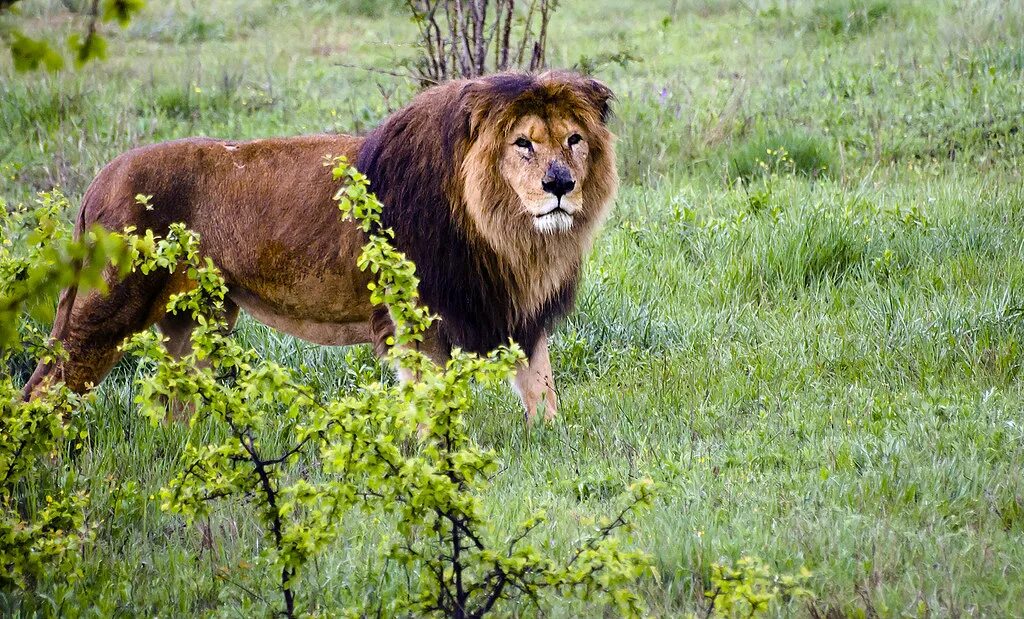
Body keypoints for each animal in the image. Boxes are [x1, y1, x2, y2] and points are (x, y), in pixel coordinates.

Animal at [24, 71, 614, 420]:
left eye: (574, 140)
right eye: (523, 144)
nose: (560, 184)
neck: (509, 235)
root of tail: (100, 178)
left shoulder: (517, 312)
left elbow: (543, 392)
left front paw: (549, 445)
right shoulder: (415, 318)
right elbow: (432, 406)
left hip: (197, 322)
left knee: (174, 406)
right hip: (109, 308)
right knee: (44, 387)